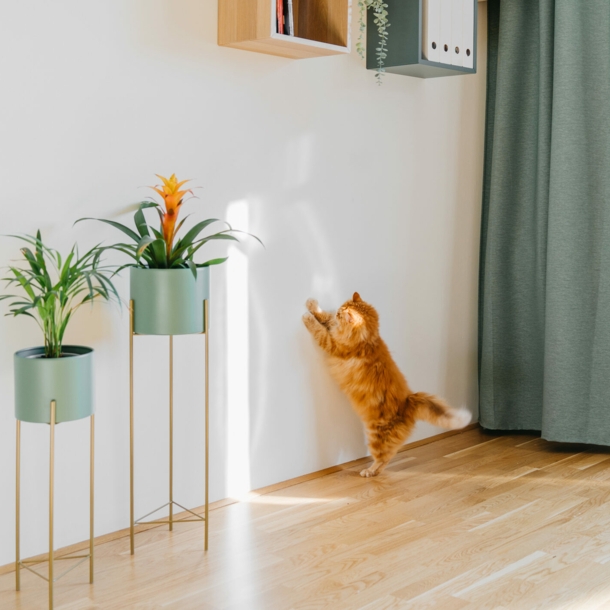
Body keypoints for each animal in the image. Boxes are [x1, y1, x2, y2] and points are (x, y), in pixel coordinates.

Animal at [302, 294, 470, 476]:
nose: (338, 311)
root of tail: (408, 401)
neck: (369, 339)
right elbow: (325, 317)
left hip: (376, 435)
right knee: (388, 457)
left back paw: (369, 471)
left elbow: (319, 331)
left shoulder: (333, 345)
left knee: (383, 458)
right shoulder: (334, 330)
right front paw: (312, 305)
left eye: (341, 313)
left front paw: (307, 317)